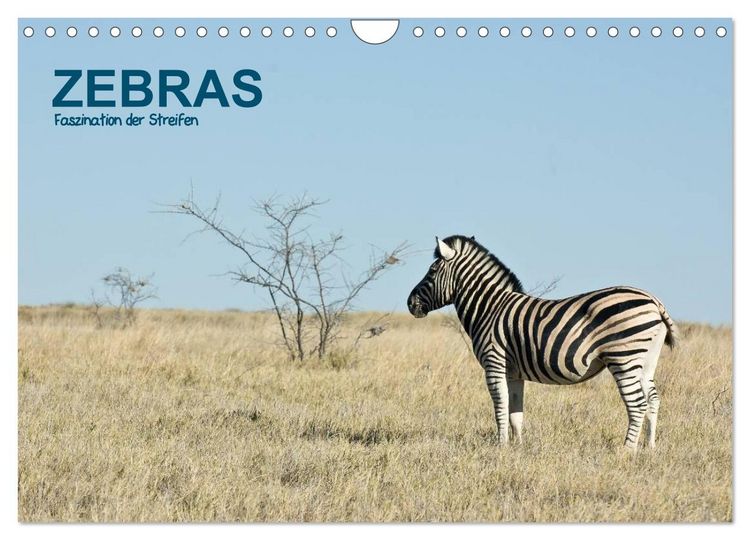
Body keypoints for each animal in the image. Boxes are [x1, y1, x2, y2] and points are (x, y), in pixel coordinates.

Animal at [406, 235, 678, 450]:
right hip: (646, 360)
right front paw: (517, 446)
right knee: (653, 400)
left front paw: (501, 445)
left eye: (432, 271)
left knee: (637, 404)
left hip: (624, 358)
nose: (410, 303)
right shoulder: (513, 372)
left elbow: (500, 406)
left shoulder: (494, 362)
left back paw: (627, 450)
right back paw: (650, 447)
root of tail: (654, 301)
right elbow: (516, 412)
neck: (490, 308)